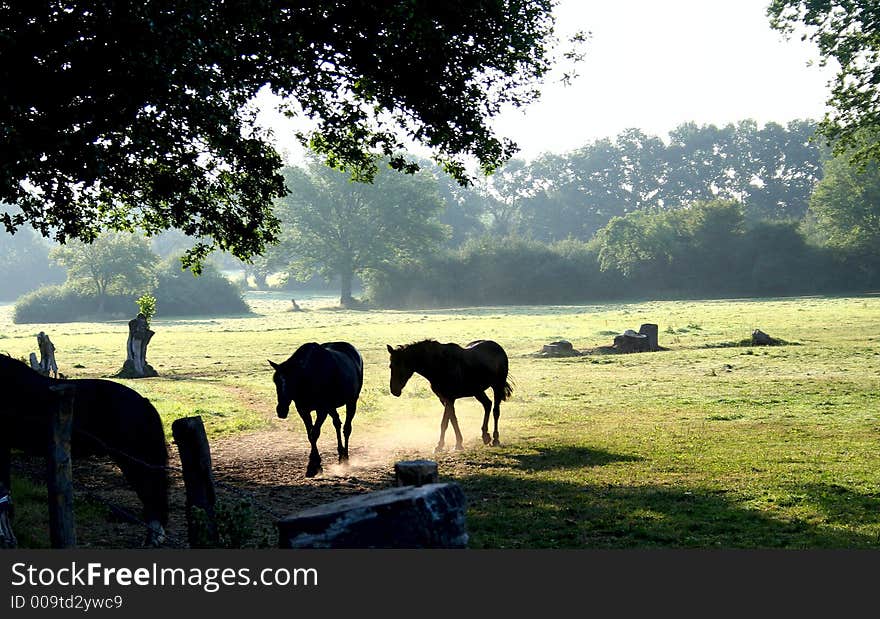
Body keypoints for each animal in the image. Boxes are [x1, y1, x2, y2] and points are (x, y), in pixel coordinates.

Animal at [268, 342, 364, 478]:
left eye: (293, 380)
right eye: (276, 381)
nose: (281, 410)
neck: (309, 377)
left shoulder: (322, 410)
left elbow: (314, 433)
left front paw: (314, 466)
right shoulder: (303, 410)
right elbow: (310, 435)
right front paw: (314, 465)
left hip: (351, 402)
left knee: (346, 428)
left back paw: (345, 458)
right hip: (332, 407)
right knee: (337, 423)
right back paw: (341, 454)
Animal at [386, 342, 516, 452]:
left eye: (399, 366)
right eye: (391, 366)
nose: (394, 390)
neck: (440, 365)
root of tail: (498, 348)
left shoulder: (449, 399)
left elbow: (445, 422)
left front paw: (441, 445)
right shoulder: (444, 399)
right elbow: (452, 419)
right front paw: (456, 443)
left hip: (497, 386)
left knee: (495, 411)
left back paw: (495, 439)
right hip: (477, 391)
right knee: (487, 405)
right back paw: (485, 436)